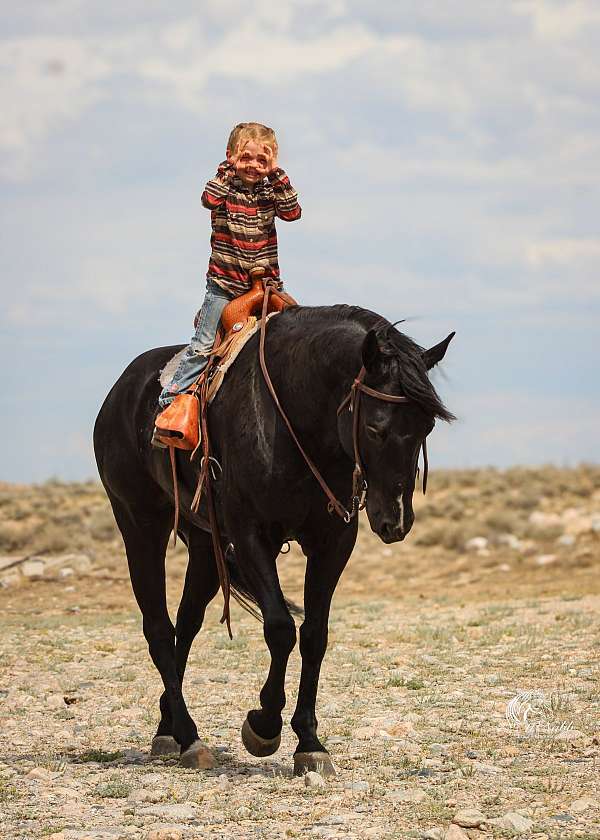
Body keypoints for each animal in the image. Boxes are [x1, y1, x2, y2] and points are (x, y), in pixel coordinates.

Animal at [93, 304, 454, 775]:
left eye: (426, 426)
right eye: (376, 428)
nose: (395, 519)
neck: (293, 420)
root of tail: (121, 390)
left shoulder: (333, 541)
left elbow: (315, 635)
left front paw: (310, 743)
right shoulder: (251, 535)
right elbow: (281, 628)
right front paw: (264, 725)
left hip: (204, 546)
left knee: (185, 627)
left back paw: (167, 729)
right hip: (139, 526)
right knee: (158, 628)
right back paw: (189, 737)